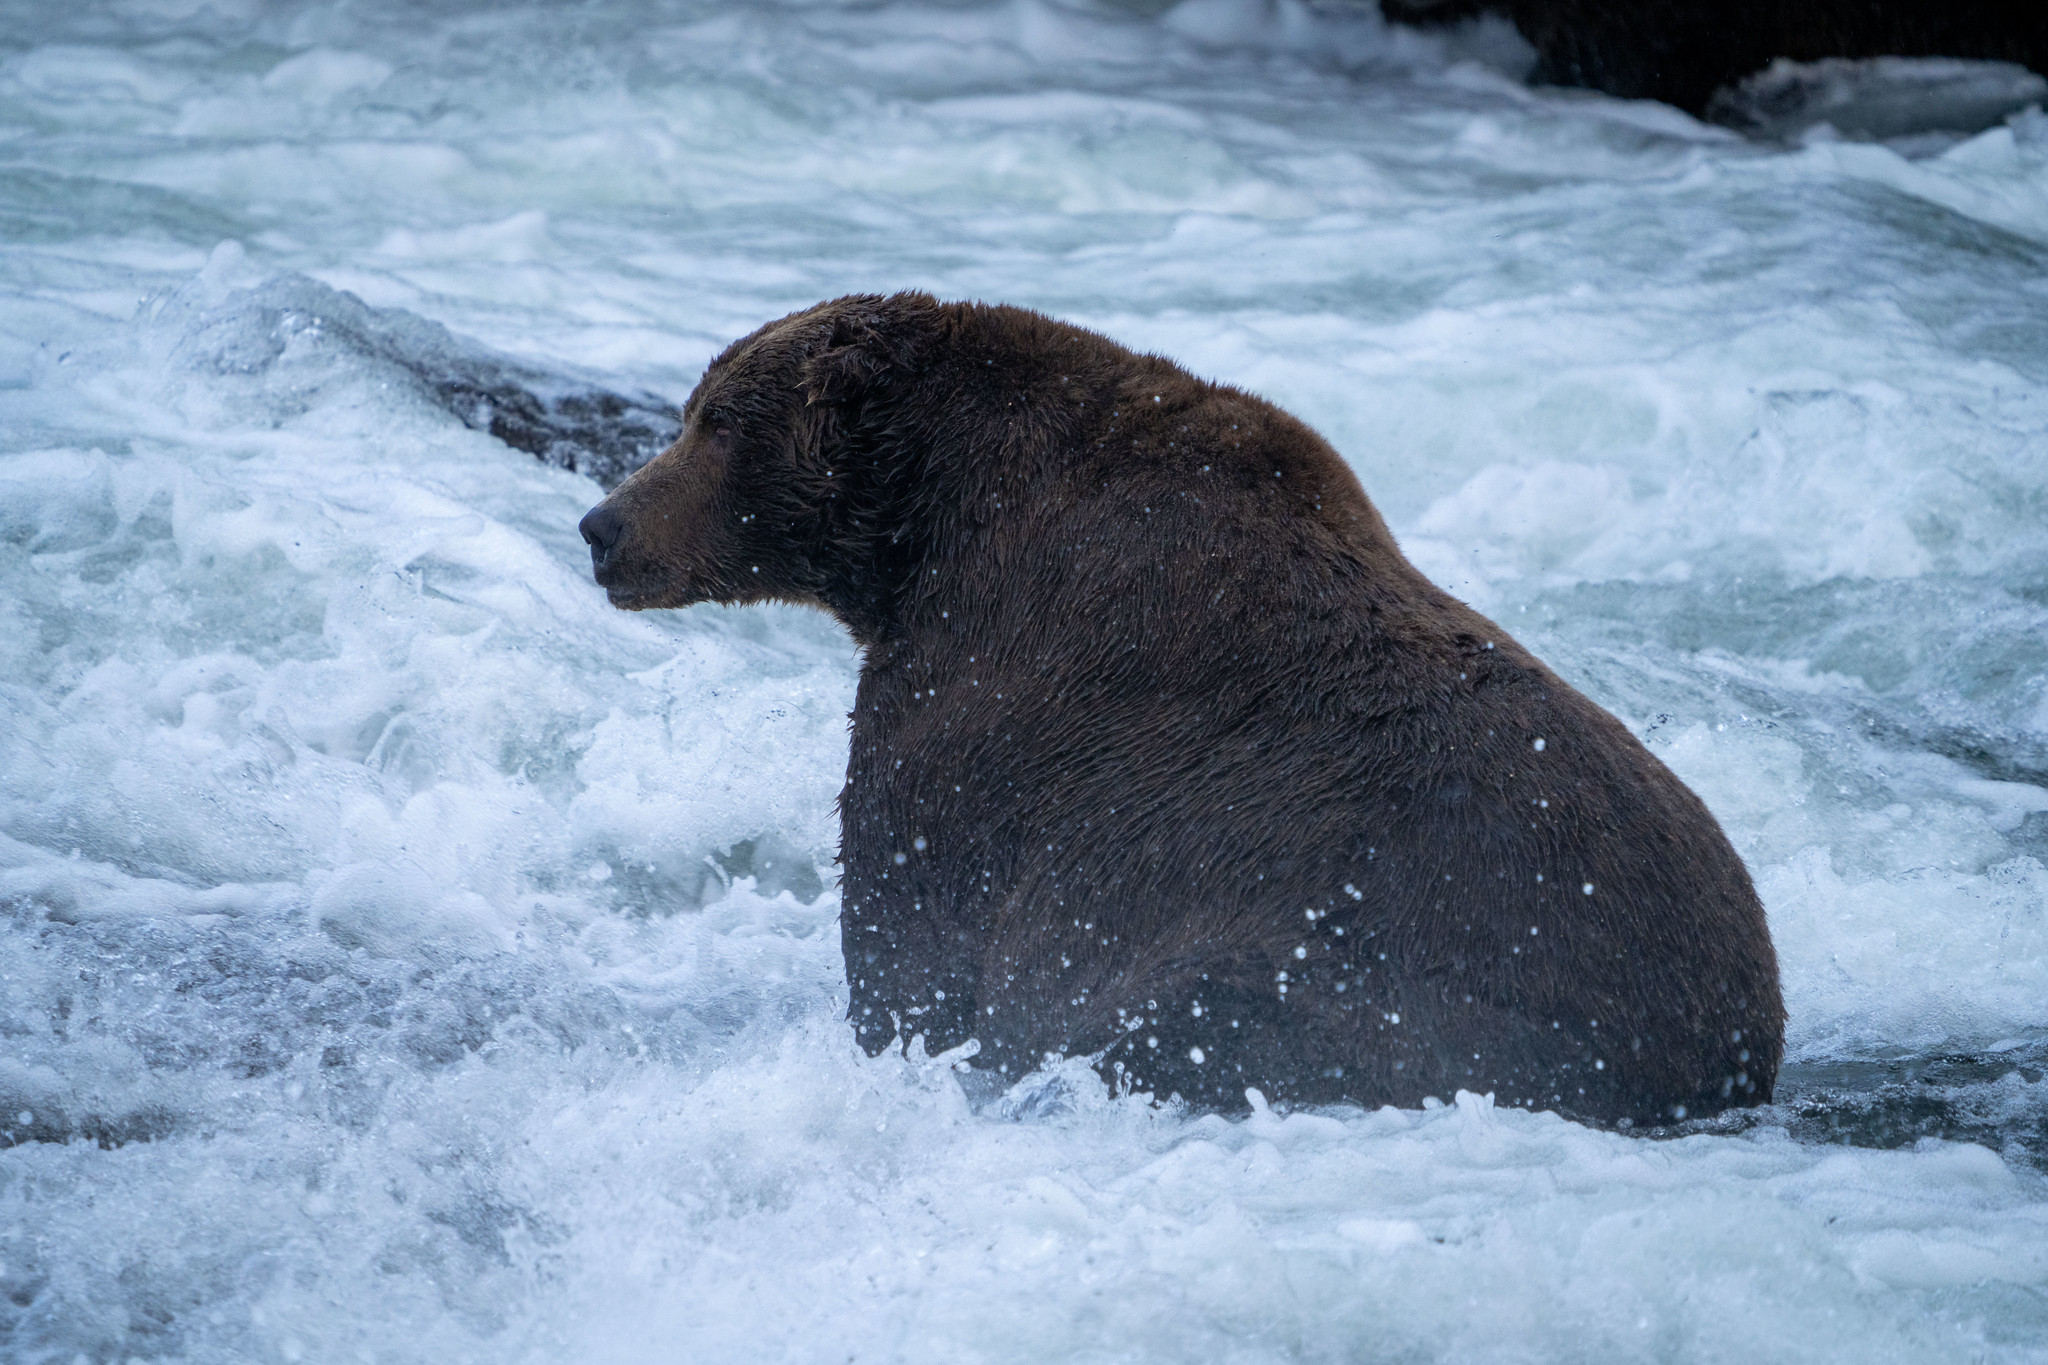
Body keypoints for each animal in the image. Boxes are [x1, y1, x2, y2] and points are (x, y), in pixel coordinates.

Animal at [577, 294, 1777, 1129]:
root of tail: (1736, 1057)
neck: (925, 526)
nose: (601, 525)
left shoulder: (991, 687)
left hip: (1364, 984)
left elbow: (918, 918)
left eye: (714, 420)